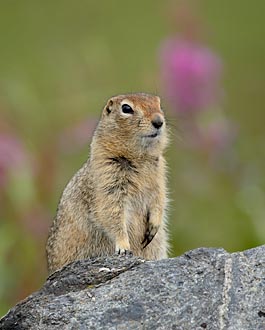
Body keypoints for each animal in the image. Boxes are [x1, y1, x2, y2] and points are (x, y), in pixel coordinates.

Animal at [46, 92, 168, 274]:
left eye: (159, 103)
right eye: (126, 108)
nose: (159, 121)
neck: (139, 158)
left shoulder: (159, 177)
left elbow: (159, 200)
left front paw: (153, 227)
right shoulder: (107, 181)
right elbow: (112, 214)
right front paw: (123, 247)